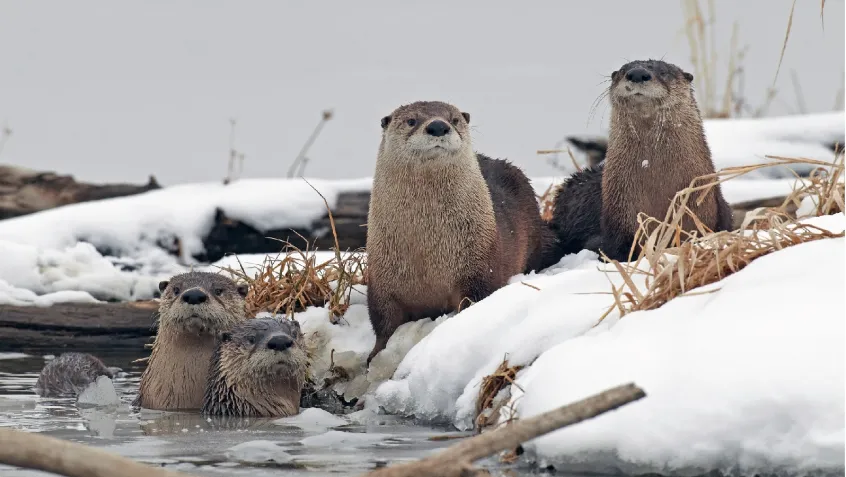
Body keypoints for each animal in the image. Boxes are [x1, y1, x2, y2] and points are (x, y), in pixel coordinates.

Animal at [366, 100, 555, 364]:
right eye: (411, 121)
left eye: (454, 119)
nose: (438, 126)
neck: (428, 251)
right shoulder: (381, 278)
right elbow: (383, 320)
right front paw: (376, 355)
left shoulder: (478, 266)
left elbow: (474, 299)